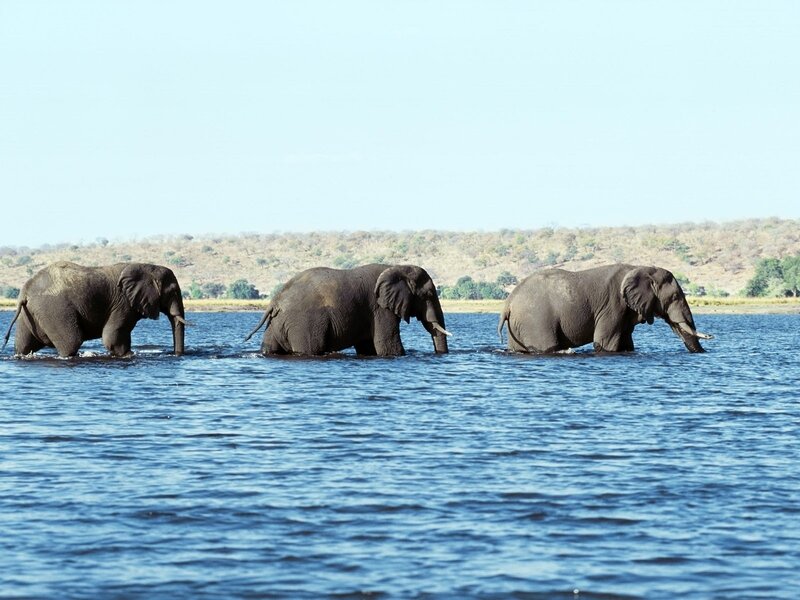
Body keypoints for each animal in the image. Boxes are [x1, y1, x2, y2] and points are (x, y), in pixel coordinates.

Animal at [2, 261, 187, 357]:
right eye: (172, 292)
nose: (177, 355)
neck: (146, 267)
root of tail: (25, 290)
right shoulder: (123, 303)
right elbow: (112, 337)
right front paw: (129, 355)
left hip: (29, 314)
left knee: (24, 345)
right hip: (53, 310)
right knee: (72, 342)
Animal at [244, 264, 450, 356]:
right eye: (429, 294)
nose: (439, 355)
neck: (398, 267)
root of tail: (275, 301)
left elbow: (368, 347)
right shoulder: (380, 308)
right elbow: (388, 345)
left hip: (277, 324)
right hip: (303, 325)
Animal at [498, 264, 712, 354]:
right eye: (674, 297)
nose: (704, 353)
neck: (642, 268)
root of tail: (508, 304)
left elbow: (626, 343)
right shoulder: (613, 306)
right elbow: (605, 343)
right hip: (535, 320)